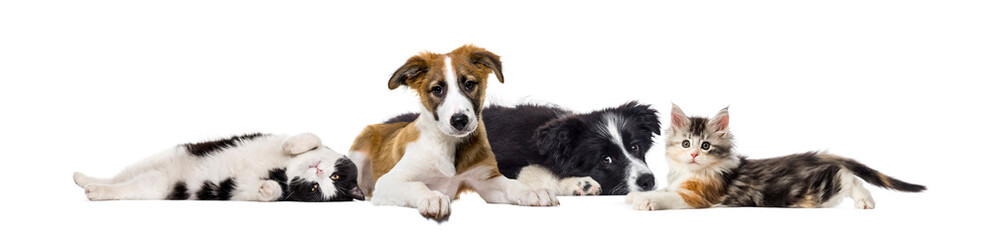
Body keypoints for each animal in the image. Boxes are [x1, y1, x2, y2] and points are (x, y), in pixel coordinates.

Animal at [348, 45, 560, 219]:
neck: (447, 144)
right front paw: (432, 197)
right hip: (357, 158)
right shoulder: (389, 181)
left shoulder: (486, 180)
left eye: (469, 84)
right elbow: (417, 185)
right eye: (437, 89)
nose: (459, 121)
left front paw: (532, 191)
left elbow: (510, 184)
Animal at [628, 104, 924, 209]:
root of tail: (817, 157)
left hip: (817, 191)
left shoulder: (698, 196)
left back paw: (866, 201)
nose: (692, 154)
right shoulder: (680, 184)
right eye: (686, 142)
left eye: (707, 146)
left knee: (848, 178)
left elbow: (668, 196)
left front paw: (646, 201)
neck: (691, 172)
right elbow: (666, 188)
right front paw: (636, 195)